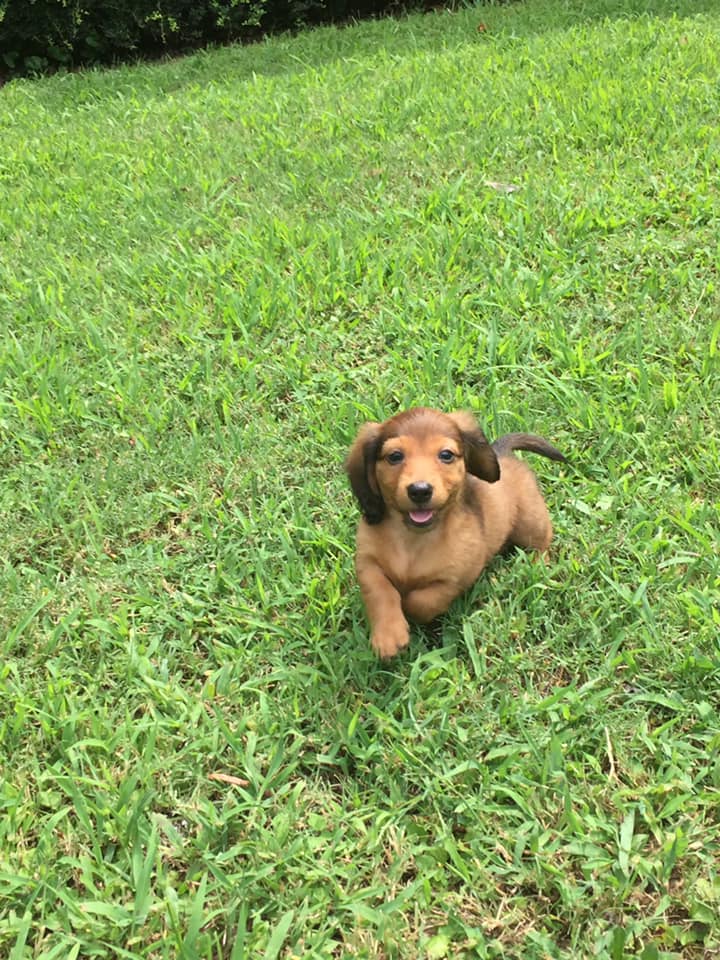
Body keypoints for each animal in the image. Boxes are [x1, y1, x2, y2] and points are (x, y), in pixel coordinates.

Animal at [346, 404, 564, 660]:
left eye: (446, 455)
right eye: (395, 456)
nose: (420, 491)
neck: (412, 539)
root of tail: (504, 453)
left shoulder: (456, 577)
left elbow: (422, 600)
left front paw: (407, 610)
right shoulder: (367, 562)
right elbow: (381, 592)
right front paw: (389, 636)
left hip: (531, 523)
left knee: (542, 543)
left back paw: (536, 565)